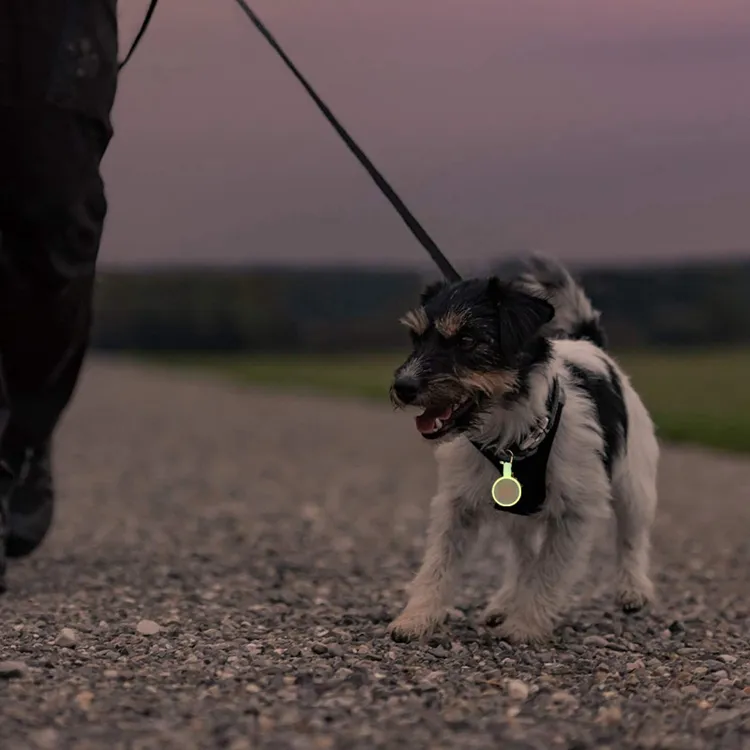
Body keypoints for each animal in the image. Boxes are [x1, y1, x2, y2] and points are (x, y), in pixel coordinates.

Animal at [388, 256, 656, 644]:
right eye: (416, 338)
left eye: (467, 340)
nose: (403, 387)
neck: (510, 433)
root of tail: (588, 341)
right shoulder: (456, 505)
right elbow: (439, 564)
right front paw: (417, 617)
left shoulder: (575, 512)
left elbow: (548, 571)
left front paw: (524, 626)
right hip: (517, 512)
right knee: (522, 557)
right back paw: (504, 602)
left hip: (634, 483)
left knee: (632, 536)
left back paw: (634, 589)